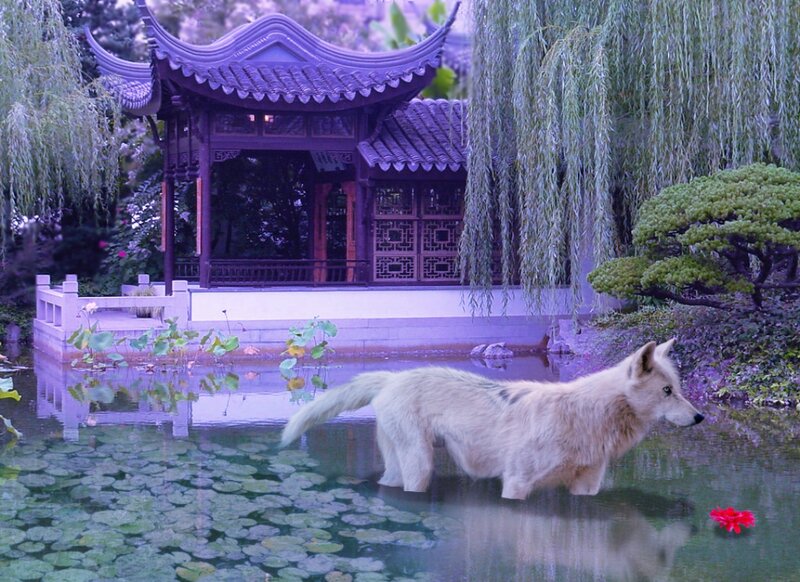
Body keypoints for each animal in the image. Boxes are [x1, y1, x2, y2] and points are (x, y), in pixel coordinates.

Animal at [281, 339, 704, 499]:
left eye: (679, 388)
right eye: (667, 391)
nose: (700, 416)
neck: (588, 416)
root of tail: (393, 377)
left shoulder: (586, 489)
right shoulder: (516, 483)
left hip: (403, 467)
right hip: (420, 467)